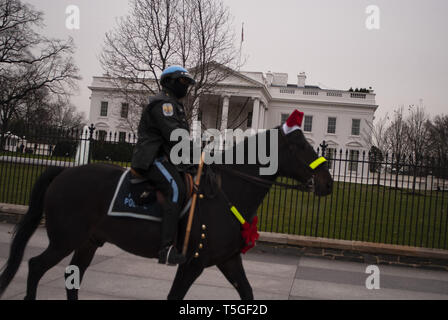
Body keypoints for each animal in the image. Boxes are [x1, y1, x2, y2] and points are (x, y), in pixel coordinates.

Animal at [0, 126, 332, 298]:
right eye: (302, 147)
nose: (328, 181)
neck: (227, 191)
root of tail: (63, 172)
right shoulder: (192, 263)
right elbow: (174, 297)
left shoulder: (228, 260)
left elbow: (247, 292)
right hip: (65, 239)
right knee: (35, 266)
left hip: (87, 242)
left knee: (72, 275)